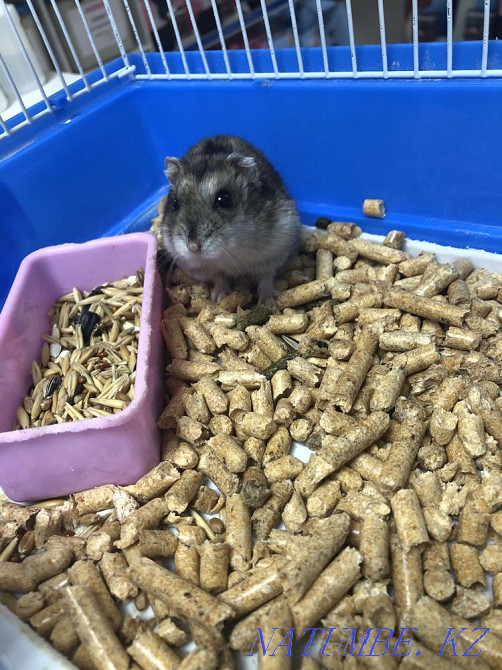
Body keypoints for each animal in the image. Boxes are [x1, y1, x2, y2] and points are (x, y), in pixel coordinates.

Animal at [161, 134, 301, 304]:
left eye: (225, 199)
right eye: (174, 203)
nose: (193, 247)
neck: (229, 250)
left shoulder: (274, 252)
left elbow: (266, 278)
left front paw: (267, 302)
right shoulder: (205, 268)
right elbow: (219, 277)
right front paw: (218, 298)